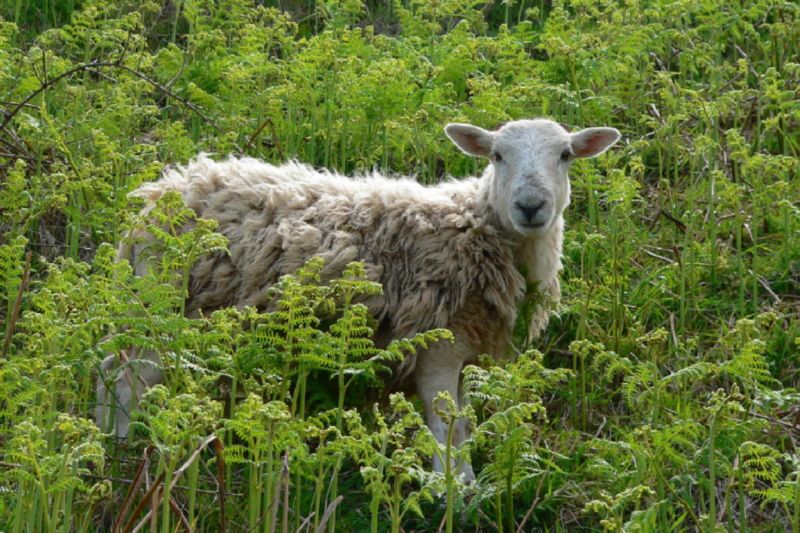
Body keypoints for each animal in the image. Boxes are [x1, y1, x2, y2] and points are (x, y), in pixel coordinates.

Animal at [97, 118, 620, 480]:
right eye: (496, 155)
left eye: (566, 154)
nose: (531, 207)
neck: (474, 226)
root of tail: (153, 195)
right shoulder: (438, 344)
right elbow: (446, 426)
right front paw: (454, 489)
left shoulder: (465, 348)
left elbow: (463, 421)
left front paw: (463, 483)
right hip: (160, 304)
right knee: (127, 379)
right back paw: (124, 449)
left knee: (113, 368)